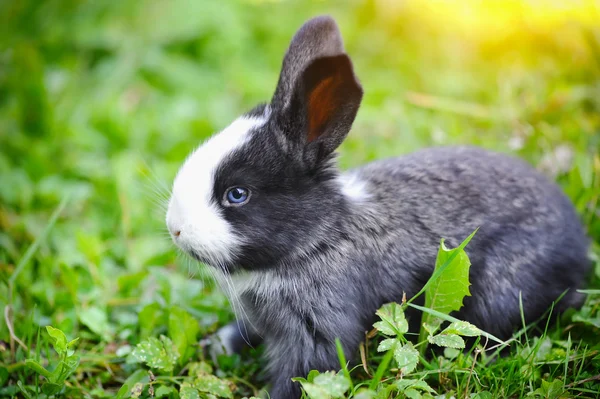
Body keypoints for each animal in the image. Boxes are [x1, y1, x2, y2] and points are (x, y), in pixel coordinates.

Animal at [165, 14, 592, 399]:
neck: (318, 240)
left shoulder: (318, 330)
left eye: (237, 194)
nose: (175, 228)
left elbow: (305, 372)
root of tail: (579, 250)